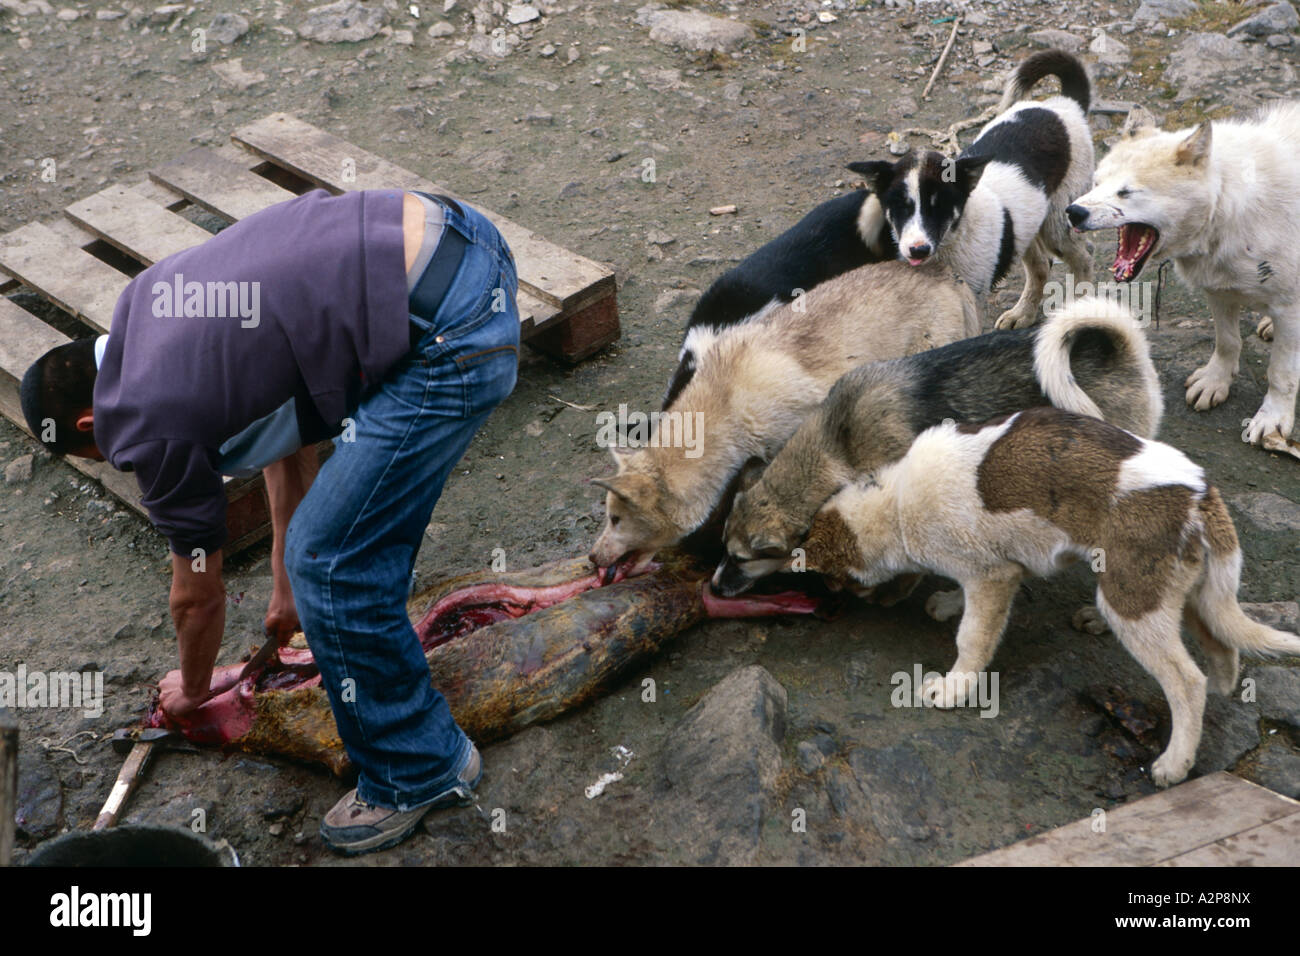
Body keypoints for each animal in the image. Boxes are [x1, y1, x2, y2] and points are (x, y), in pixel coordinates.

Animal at [847, 49, 1092, 332]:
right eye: (900, 207)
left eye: (939, 206)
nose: (918, 250)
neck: (951, 241)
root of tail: (1065, 104)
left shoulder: (971, 301)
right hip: (1027, 223)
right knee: (1041, 264)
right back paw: (1022, 313)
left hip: (1058, 223)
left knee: (1083, 259)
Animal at [1066, 102, 1300, 457]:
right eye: (1096, 182)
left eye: (1126, 192)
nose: (1073, 212)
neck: (1230, 205)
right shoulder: (1220, 291)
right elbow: (1227, 342)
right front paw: (1215, 383)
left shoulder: (1289, 307)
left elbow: (1281, 373)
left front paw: (1272, 420)